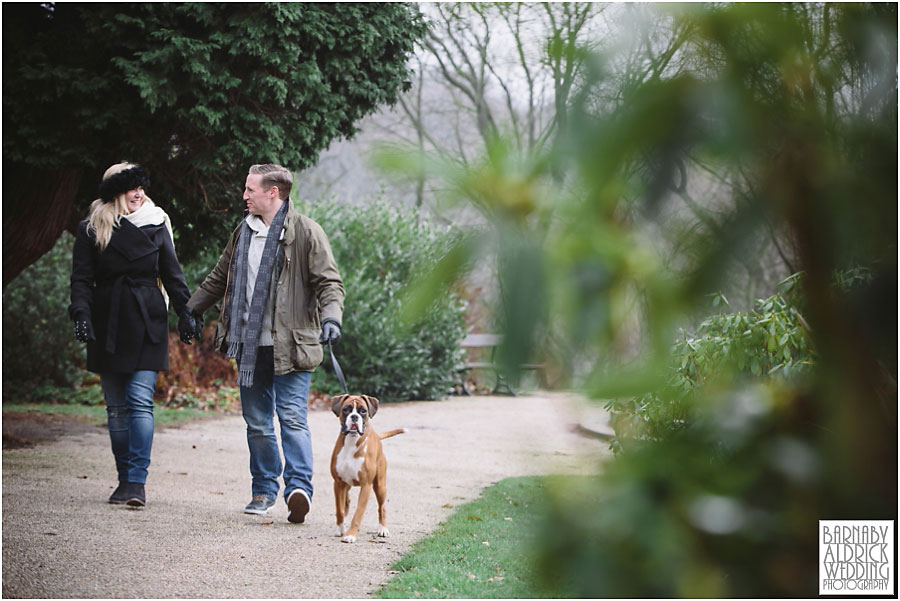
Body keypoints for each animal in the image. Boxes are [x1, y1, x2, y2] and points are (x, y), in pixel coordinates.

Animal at [330, 394, 404, 544]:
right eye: (346, 409)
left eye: (363, 411)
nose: (354, 416)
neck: (351, 442)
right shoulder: (338, 483)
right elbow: (339, 510)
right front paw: (340, 529)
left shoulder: (366, 485)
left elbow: (358, 513)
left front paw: (350, 535)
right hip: (347, 484)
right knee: (346, 501)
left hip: (379, 486)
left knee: (382, 508)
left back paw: (383, 529)